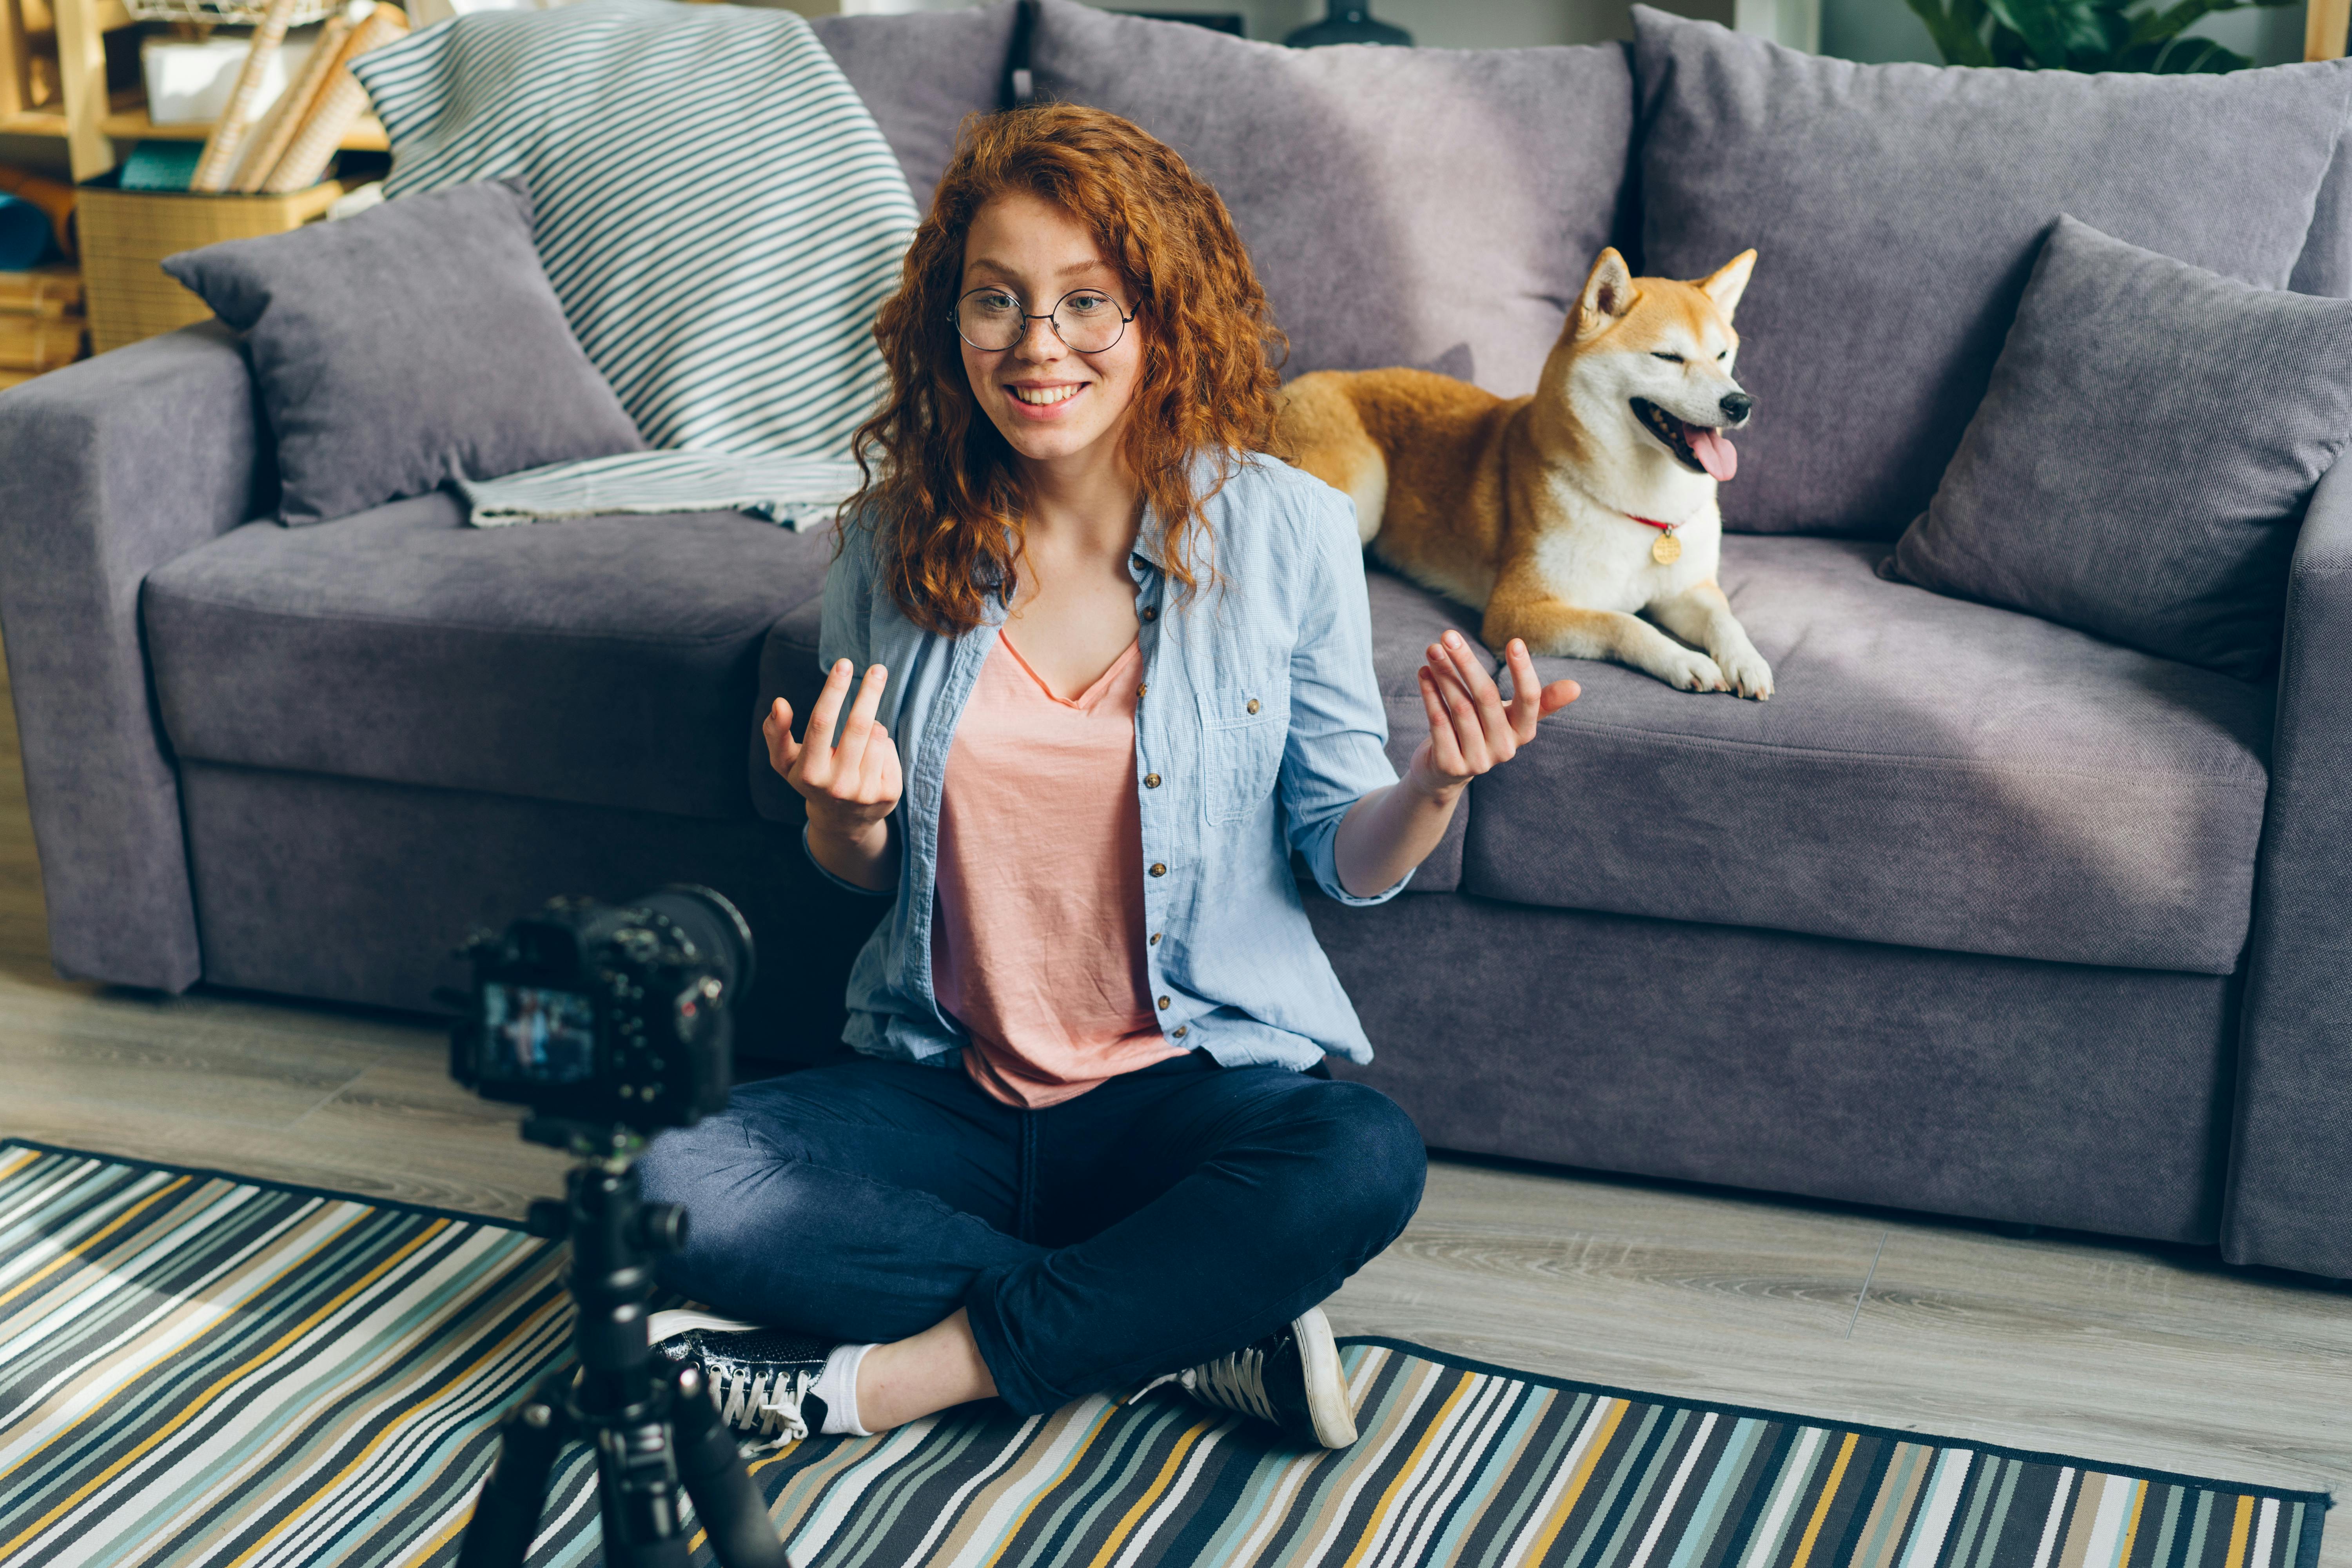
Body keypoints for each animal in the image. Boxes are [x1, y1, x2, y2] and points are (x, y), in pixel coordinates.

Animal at [1289, 245, 1769, 701]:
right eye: (1668, 357)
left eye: (1722, 355)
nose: (1740, 403)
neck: (1647, 511)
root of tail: (1295, 384)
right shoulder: (1515, 611)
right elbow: (1624, 623)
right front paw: (1685, 661)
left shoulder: (1689, 589)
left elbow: (1724, 617)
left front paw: (1746, 659)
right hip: (1366, 492)